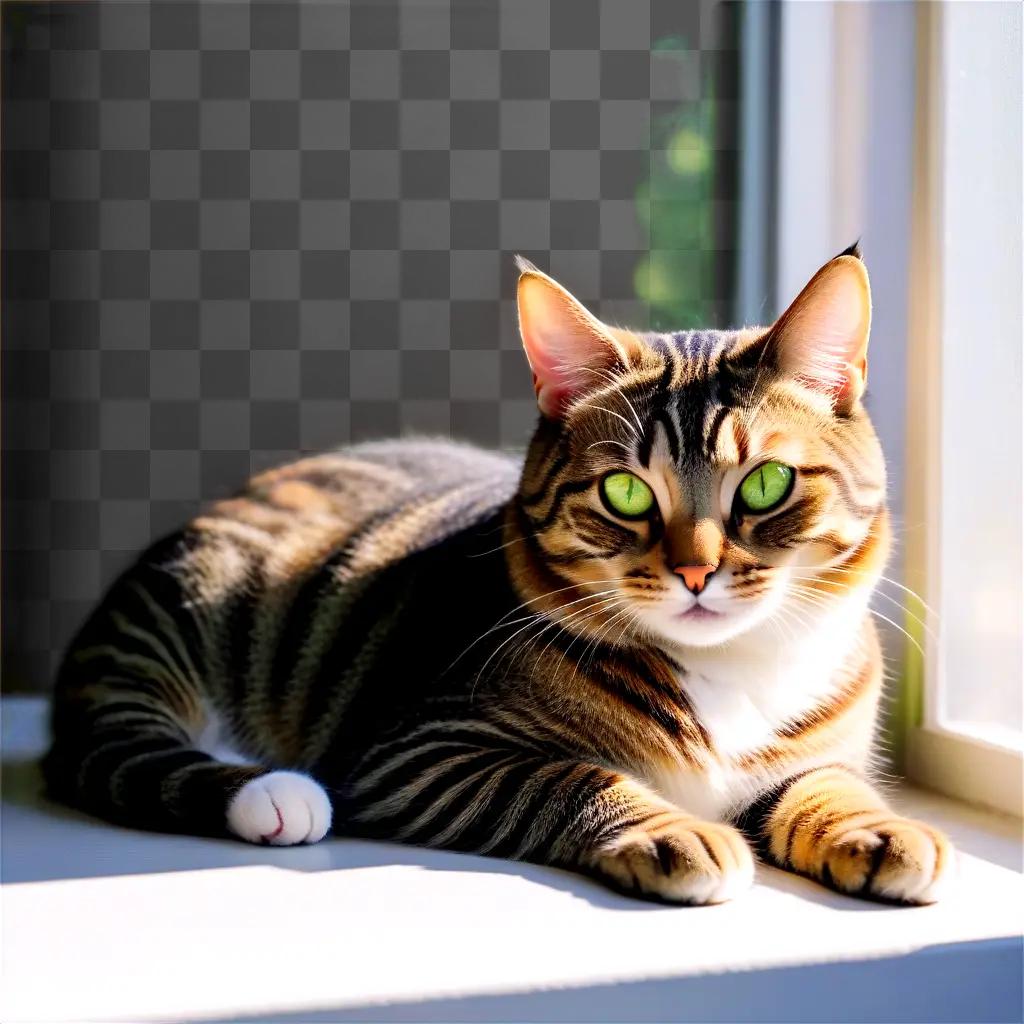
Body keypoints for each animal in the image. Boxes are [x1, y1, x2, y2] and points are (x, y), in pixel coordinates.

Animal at [41, 247, 950, 905]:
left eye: (765, 484)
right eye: (626, 491)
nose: (696, 571)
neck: (729, 673)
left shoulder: (815, 755)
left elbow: (829, 785)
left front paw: (883, 831)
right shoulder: (419, 751)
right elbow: (567, 777)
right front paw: (671, 830)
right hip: (182, 617)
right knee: (125, 740)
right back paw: (270, 792)